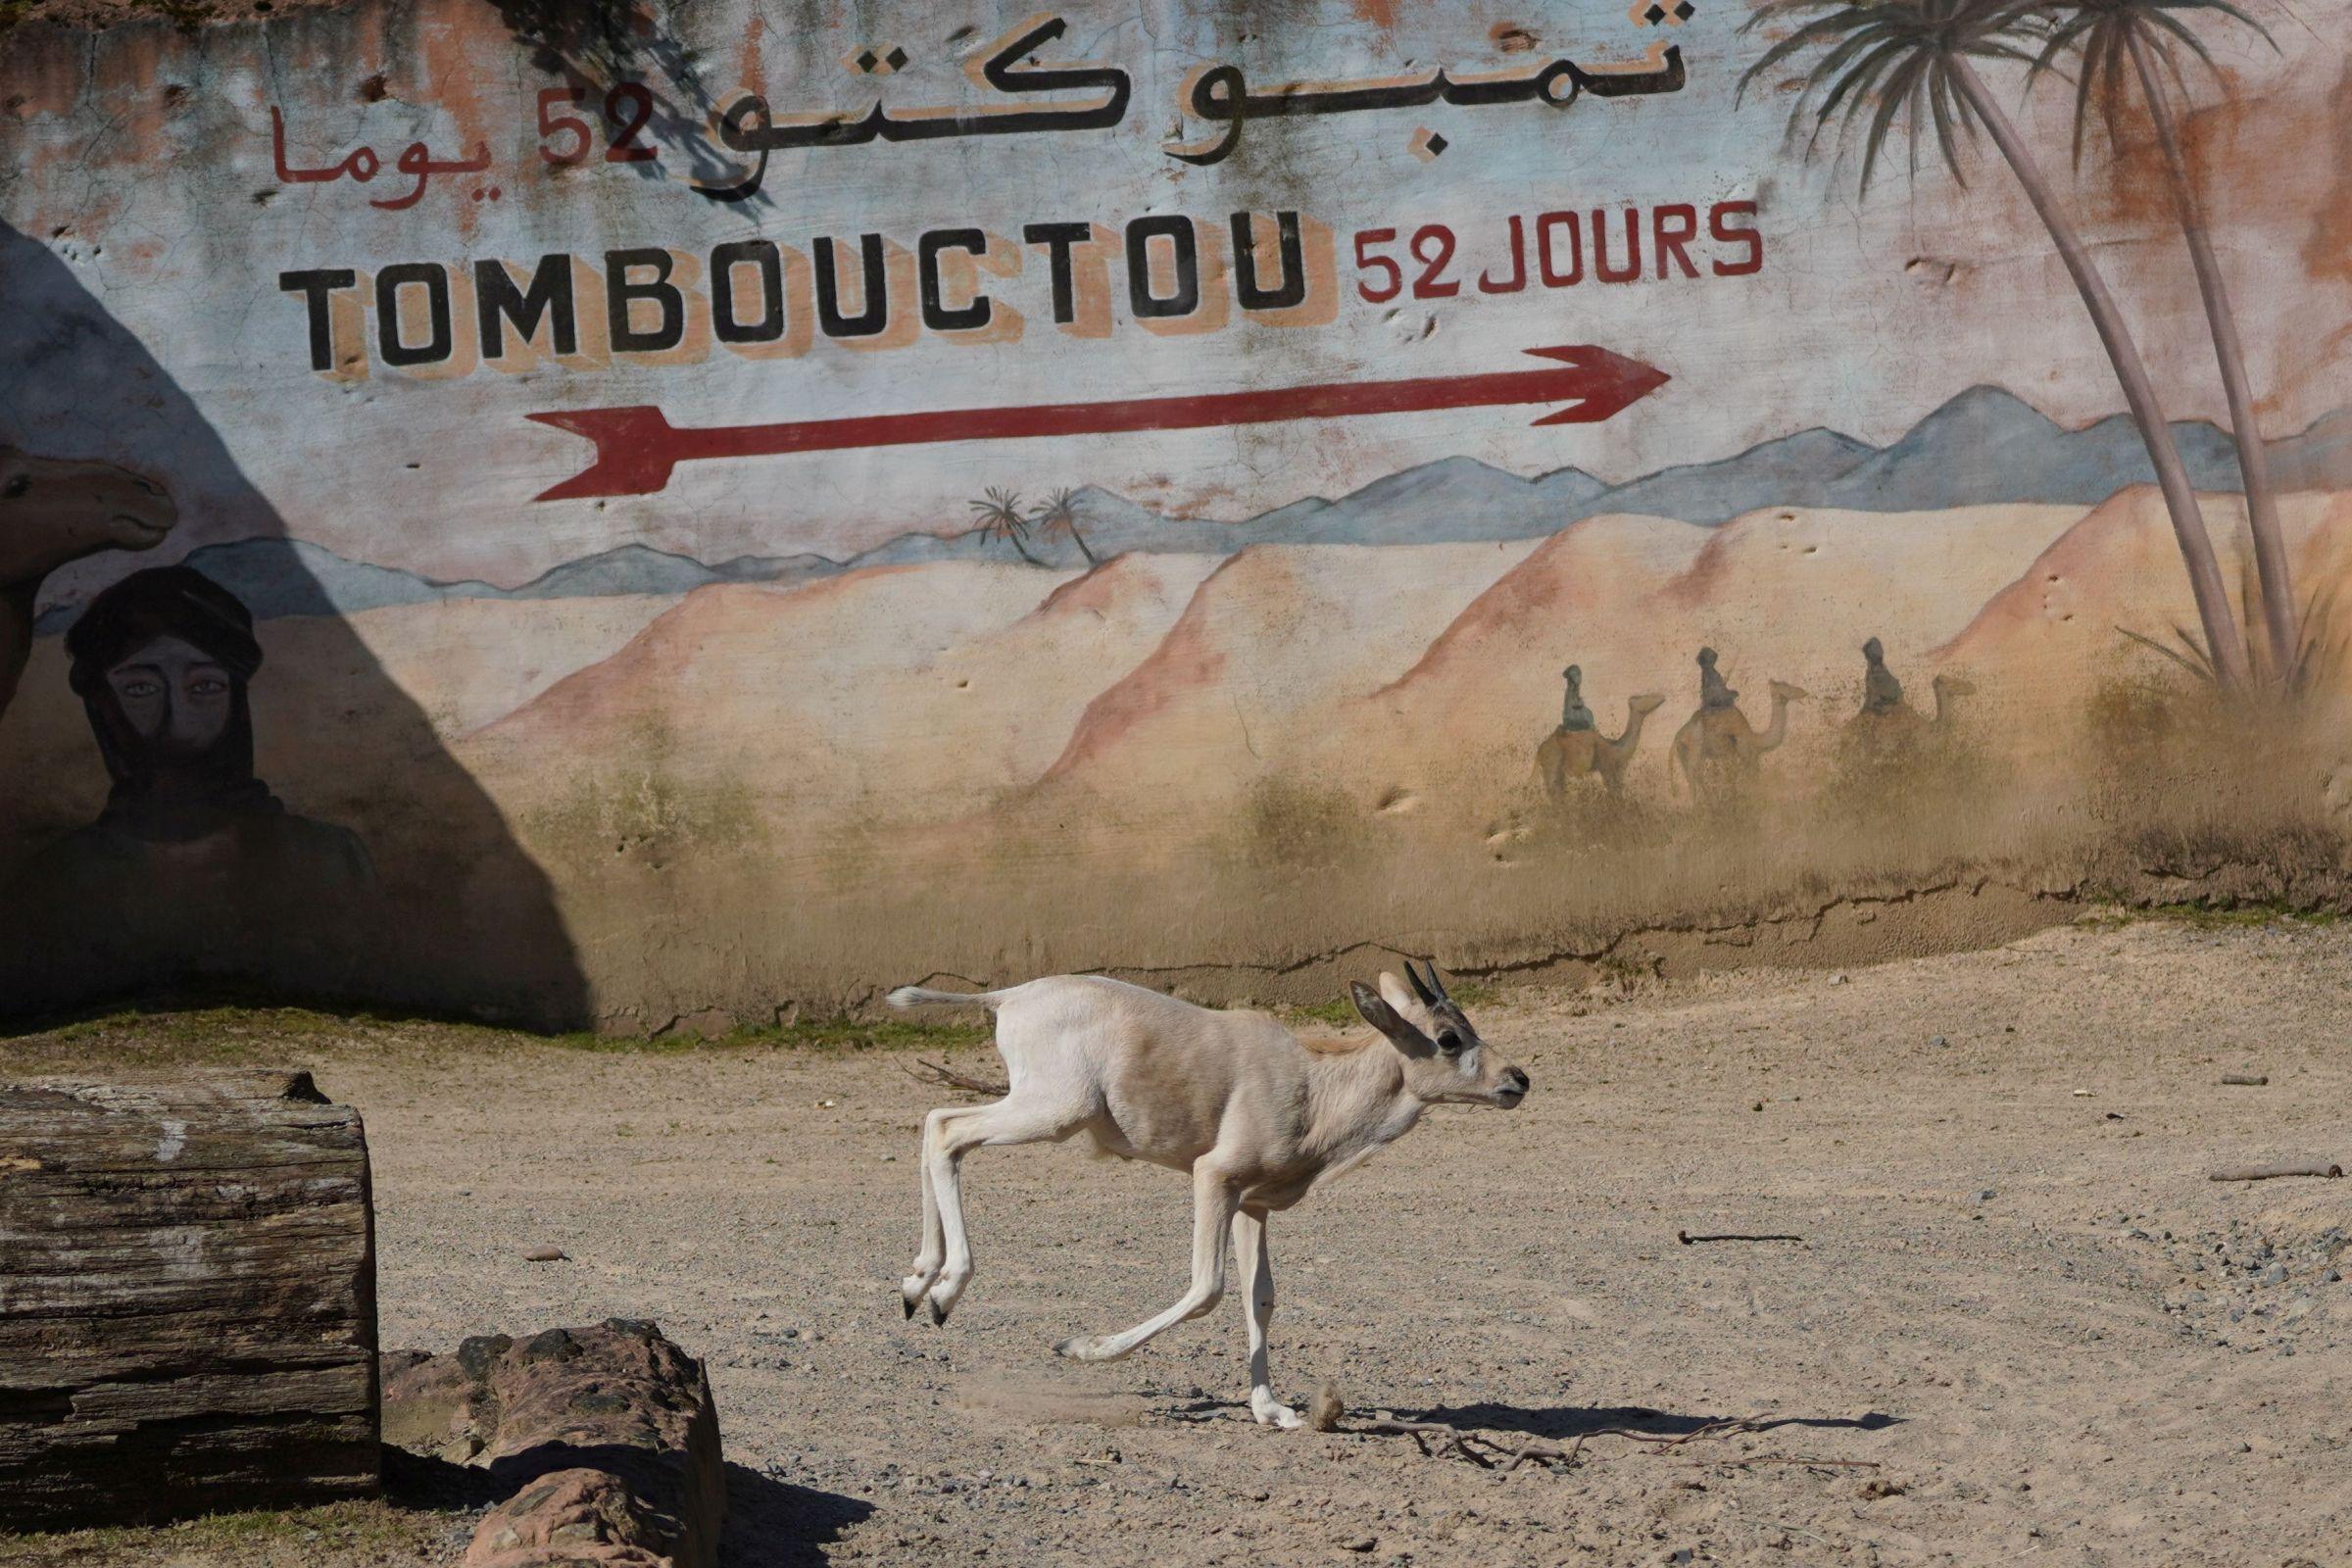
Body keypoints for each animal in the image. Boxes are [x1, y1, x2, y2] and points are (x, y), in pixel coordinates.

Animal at [884, 963, 1524, 1429]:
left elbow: (1260, 1297)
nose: (1518, 1080)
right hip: (1055, 1111)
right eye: (1448, 1038)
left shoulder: (1251, 1204)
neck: (1315, 1084)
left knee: (937, 1122)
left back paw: (918, 1285)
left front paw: (1272, 1410)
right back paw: (945, 1291)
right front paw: (1082, 1347)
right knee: (948, 1132)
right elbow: (1208, 1289)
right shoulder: (1213, 1178)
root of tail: (1010, 996)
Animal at [1543, 696, 1674, 799]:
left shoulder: (1619, 770)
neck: (1616, 749)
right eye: (1643, 697)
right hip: (1552, 763)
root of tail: (1541, 750)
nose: (1661, 696)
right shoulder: (1606, 765)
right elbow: (1613, 792)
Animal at [1665, 676, 1806, 799]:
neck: (1757, 740)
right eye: (1785, 685)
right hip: (1696, 749)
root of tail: (1677, 738)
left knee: (1692, 777)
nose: (1803, 691)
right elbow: (1749, 783)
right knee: (1693, 774)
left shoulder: (1738, 759)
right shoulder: (1747, 757)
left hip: (1684, 754)